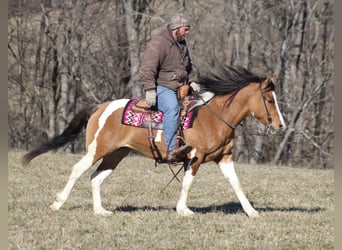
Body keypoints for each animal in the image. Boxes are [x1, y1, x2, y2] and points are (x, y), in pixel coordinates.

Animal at [22, 64, 286, 217]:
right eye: (269, 100)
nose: (281, 125)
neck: (213, 116)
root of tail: (101, 106)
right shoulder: (195, 157)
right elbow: (187, 183)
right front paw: (183, 210)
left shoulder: (224, 157)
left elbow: (236, 184)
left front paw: (251, 212)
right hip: (97, 150)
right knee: (78, 170)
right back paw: (57, 204)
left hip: (116, 154)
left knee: (96, 177)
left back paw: (100, 211)